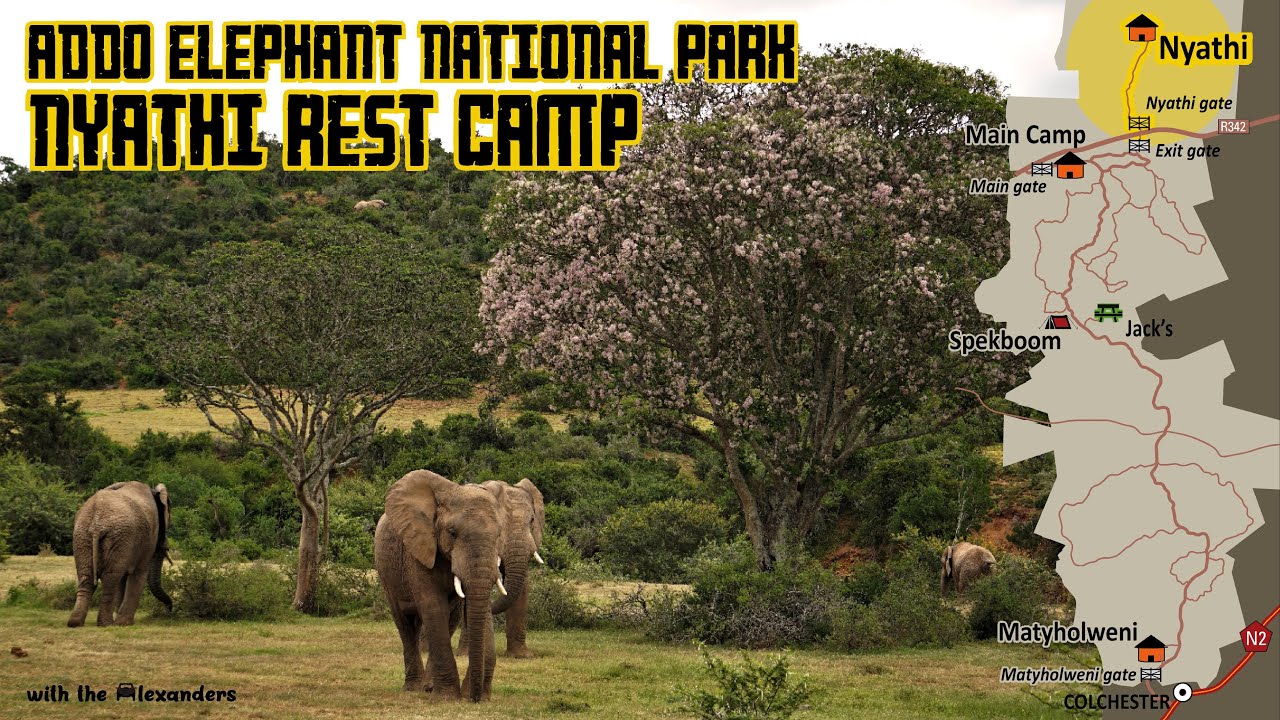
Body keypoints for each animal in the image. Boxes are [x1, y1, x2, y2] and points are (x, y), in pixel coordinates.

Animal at [67, 481, 173, 627]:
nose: (170, 608)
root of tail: (97, 520)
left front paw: (120, 620)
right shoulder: (149, 535)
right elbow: (139, 574)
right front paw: (124, 623)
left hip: (82, 535)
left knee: (86, 577)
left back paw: (75, 622)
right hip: (118, 535)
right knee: (111, 578)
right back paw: (106, 624)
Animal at [374, 470, 506, 701]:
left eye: (499, 533)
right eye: (452, 532)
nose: (475, 698)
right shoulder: (418, 549)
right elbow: (433, 607)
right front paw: (447, 698)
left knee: (449, 619)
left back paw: (427, 687)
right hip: (386, 573)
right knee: (405, 623)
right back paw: (413, 687)